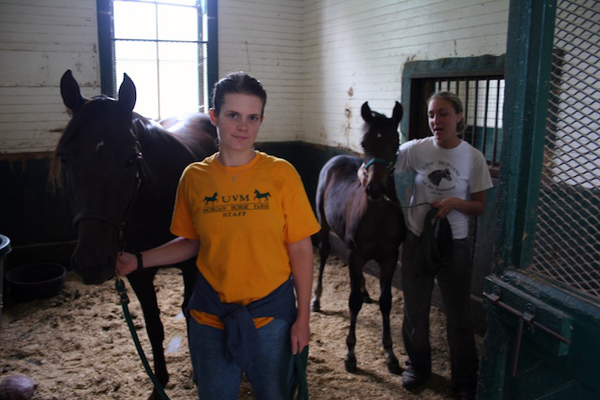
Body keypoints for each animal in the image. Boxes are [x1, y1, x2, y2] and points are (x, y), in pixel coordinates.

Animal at [51, 71, 216, 400]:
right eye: (65, 158)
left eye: (130, 159)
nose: (92, 263)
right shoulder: (139, 273)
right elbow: (153, 326)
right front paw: (159, 382)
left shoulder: (191, 264)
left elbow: (190, 313)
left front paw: (198, 371)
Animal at [312, 102, 406, 376]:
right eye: (364, 143)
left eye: (395, 142)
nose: (374, 189)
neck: (378, 213)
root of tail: (336, 158)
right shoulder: (356, 253)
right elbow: (352, 302)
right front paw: (350, 354)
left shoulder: (389, 257)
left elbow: (386, 302)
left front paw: (390, 354)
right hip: (323, 224)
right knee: (324, 253)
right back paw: (317, 299)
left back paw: (365, 290)